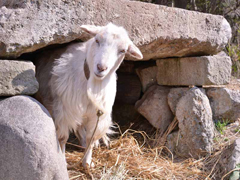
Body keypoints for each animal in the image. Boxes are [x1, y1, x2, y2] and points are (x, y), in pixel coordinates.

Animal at [35, 23, 142, 168]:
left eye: (122, 51)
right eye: (97, 40)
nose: (101, 68)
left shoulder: (97, 114)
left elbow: (91, 137)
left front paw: (87, 161)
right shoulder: (64, 110)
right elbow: (62, 138)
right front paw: (62, 160)